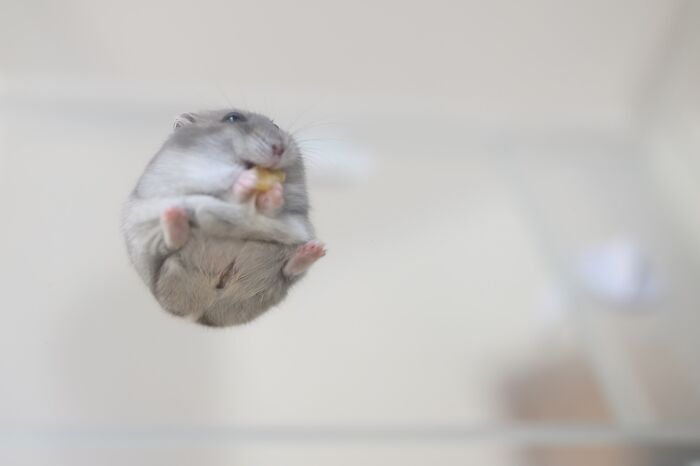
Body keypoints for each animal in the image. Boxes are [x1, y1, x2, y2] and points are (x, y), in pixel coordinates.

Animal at [121, 108, 325, 327]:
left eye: (276, 126)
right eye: (233, 118)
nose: (280, 148)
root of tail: (203, 314)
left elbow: (271, 207)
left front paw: (274, 193)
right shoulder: (193, 176)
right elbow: (226, 189)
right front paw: (247, 181)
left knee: (288, 270)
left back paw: (313, 250)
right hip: (157, 253)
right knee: (173, 243)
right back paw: (174, 215)